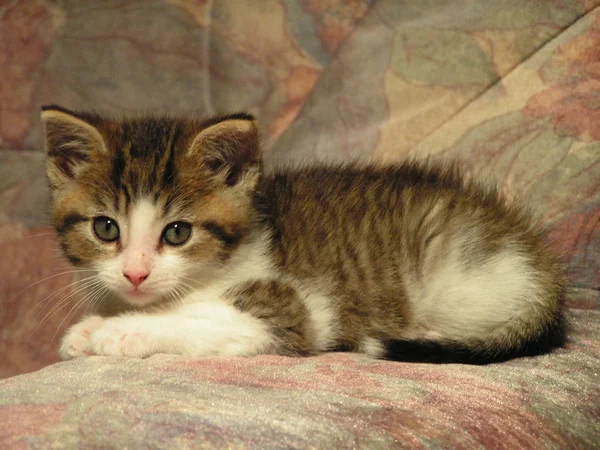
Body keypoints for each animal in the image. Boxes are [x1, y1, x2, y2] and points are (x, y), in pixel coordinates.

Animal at [42, 106, 568, 366]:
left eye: (177, 232)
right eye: (105, 228)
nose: (135, 274)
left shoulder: (290, 311)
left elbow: (193, 321)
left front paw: (119, 331)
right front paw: (90, 327)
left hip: (459, 281)